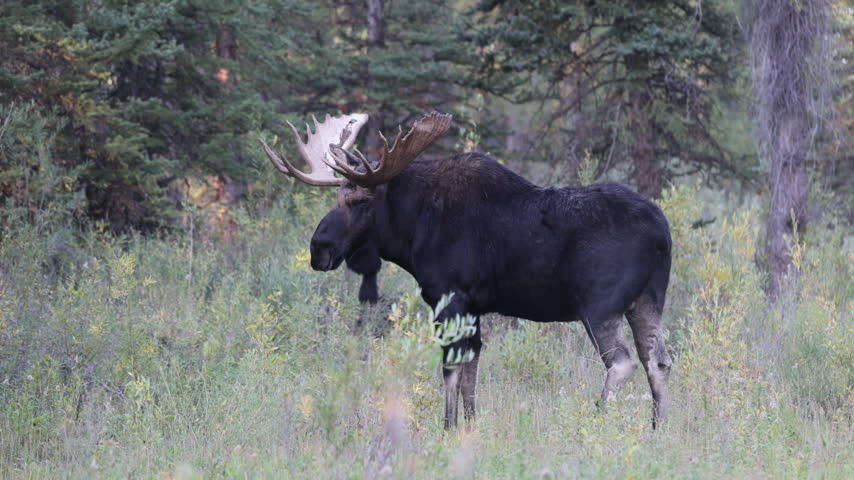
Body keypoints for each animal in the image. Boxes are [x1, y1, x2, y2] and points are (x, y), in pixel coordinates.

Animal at [260, 112, 674, 429]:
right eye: (336, 196)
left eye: (360, 200)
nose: (319, 249)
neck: (411, 230)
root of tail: (662, 234)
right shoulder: (473, 309)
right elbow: (471, 372)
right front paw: (470, 428)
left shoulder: (449, 298)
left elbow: (451, 370)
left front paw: (446, 428)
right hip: (647, 301)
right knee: (658, 360)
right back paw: (657, 429)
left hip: (600, 305)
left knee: (622, 361)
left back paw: (597, 420)